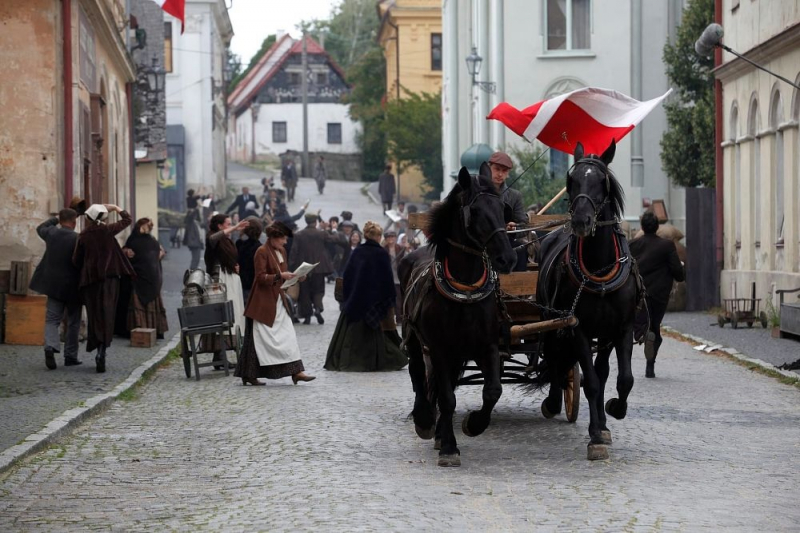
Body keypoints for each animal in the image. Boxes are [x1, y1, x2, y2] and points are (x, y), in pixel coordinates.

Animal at [400, 162, 520, 466]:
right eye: (475, 211)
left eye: (503, 209)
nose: (507, 258)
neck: (464, 290)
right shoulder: (440, 349)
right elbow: (445, 397)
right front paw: (448, 447)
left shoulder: (487, 346)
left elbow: (492, 390)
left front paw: (473, 424)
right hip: (416, 340)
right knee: (419, 376)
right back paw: (425, 420)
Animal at [536, 139, 640, 460]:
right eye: (572, 181)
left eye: (601, 181)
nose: (581, 220)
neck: (599, 268)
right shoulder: (577, 328)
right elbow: (591, 382)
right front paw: (594, 436)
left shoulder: (622, 329)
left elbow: (623, 378)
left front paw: (613, 411)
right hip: (552, 323)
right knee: (557, 361)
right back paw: (554, 402)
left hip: (603, 335)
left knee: (601, 370)